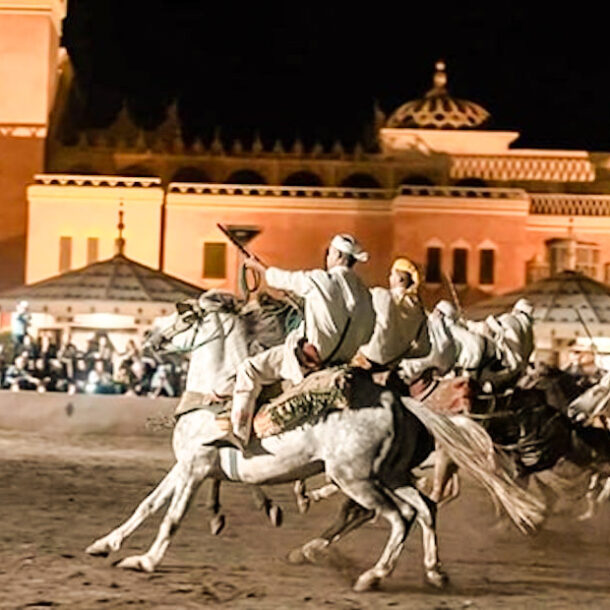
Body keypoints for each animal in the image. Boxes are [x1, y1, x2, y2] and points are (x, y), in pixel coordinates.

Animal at [82, 290, 540, 588]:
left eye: (186, 316)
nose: (151, 339)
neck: (214, 395)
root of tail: (398, 402)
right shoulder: (185, 466)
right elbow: (147, 504)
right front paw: (105, 544)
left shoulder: (195, 470)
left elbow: (172, 518)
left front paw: (145, 561)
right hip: (390, 476)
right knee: (424, 509)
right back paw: (434, 571)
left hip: (357, 479)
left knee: (398, 517)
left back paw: (372, 575)